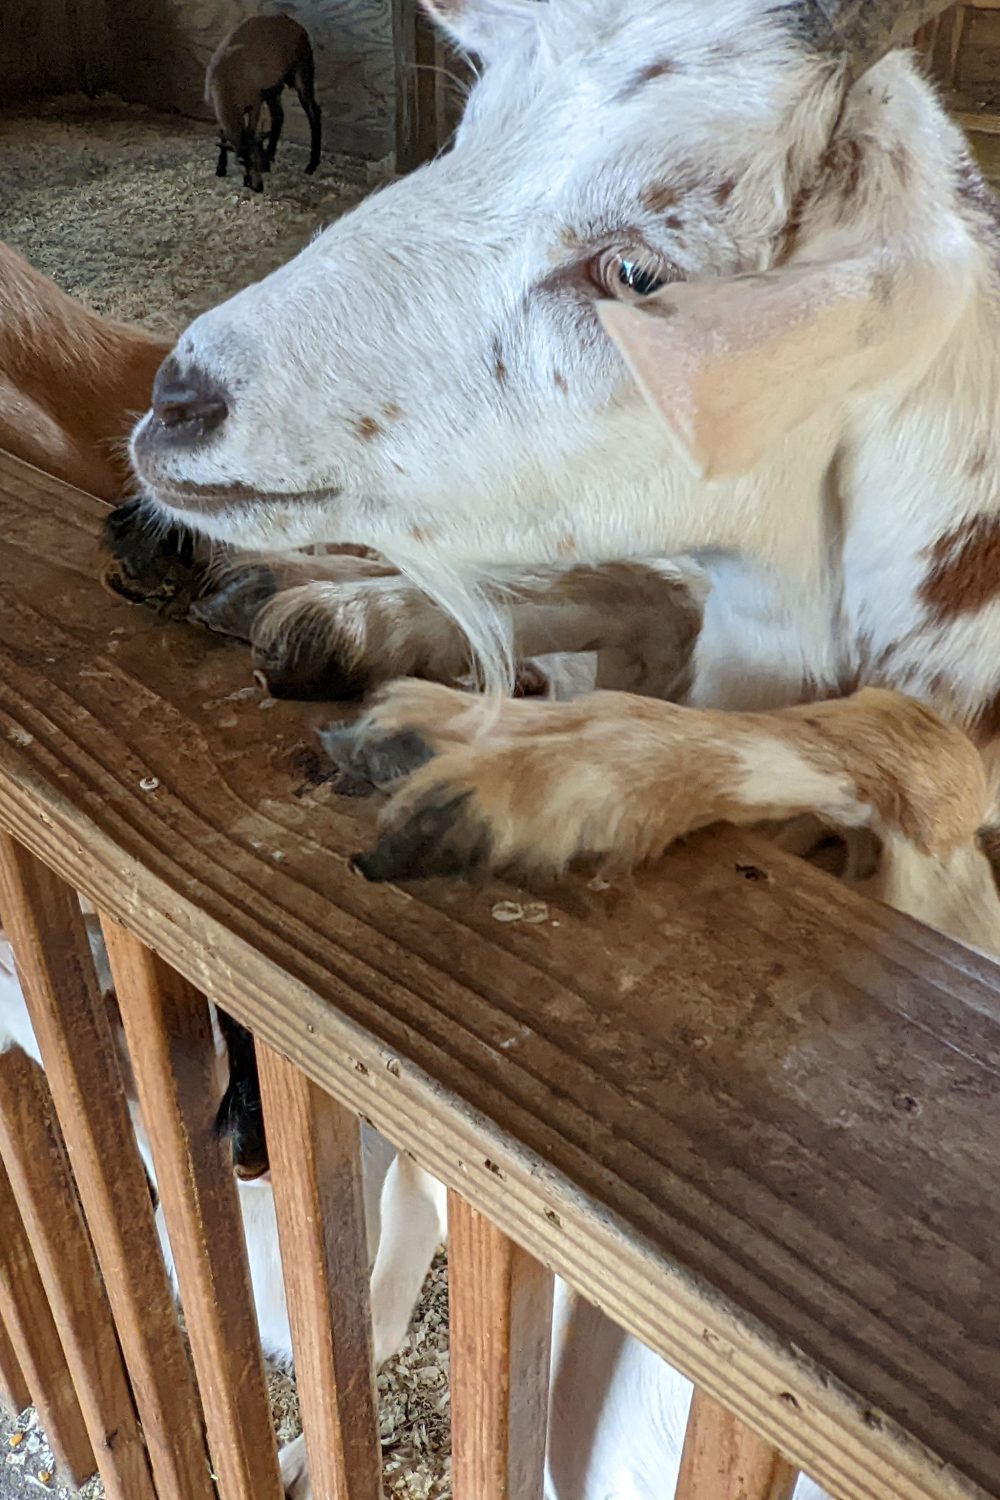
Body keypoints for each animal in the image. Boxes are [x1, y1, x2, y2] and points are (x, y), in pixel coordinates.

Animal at [206, 15, 322, 192]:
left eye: (256, 161)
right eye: (241, 161)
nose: (258, 187)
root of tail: (294, 23)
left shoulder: (255, 103)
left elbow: (252, 130)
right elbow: (223, 135)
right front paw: (220, 168)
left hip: (302, 71)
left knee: (313, 111)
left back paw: (311, 165)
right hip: (274, 87)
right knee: (279, 115)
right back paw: (272, 154)